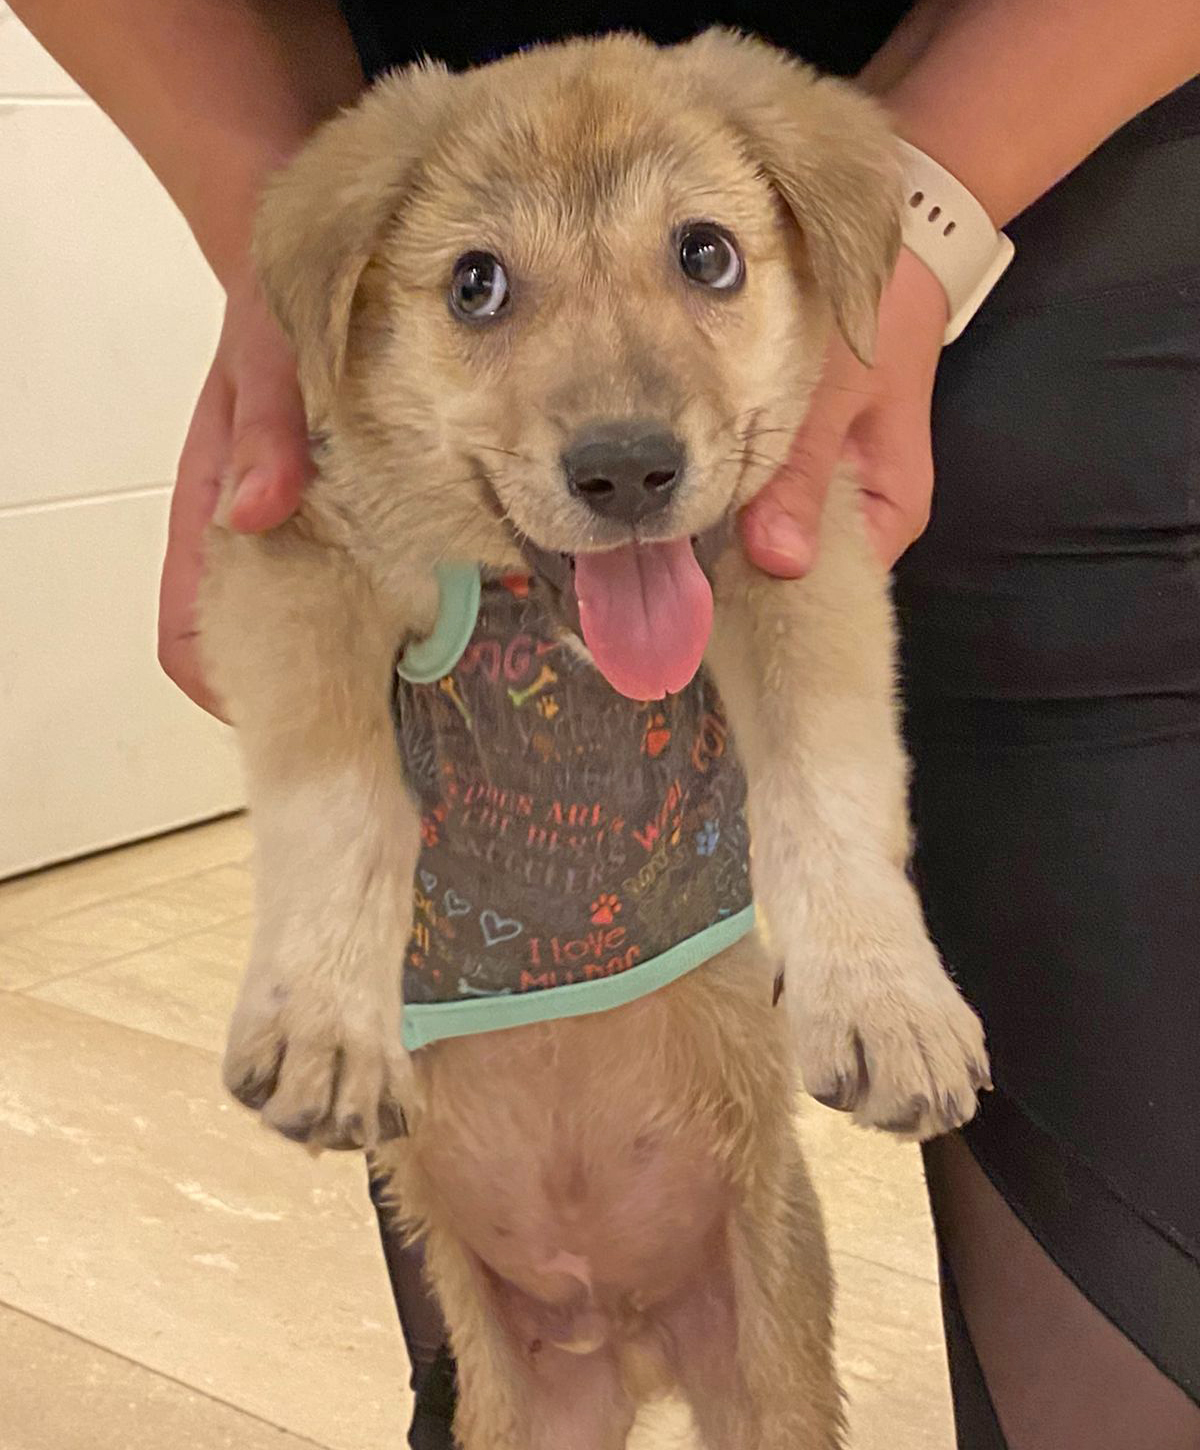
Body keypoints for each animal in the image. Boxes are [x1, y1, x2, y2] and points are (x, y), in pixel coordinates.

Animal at [201, 34, 991, 1450]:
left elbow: (834, 789)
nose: (628, 471)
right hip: (522, 1406)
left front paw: (888, 1000)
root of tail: (622, 1334)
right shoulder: (288, 556)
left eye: (707, 255)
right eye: (477, 284)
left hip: (770, 1376)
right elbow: (343, 799)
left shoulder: (804, 556)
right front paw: (326, 1019)